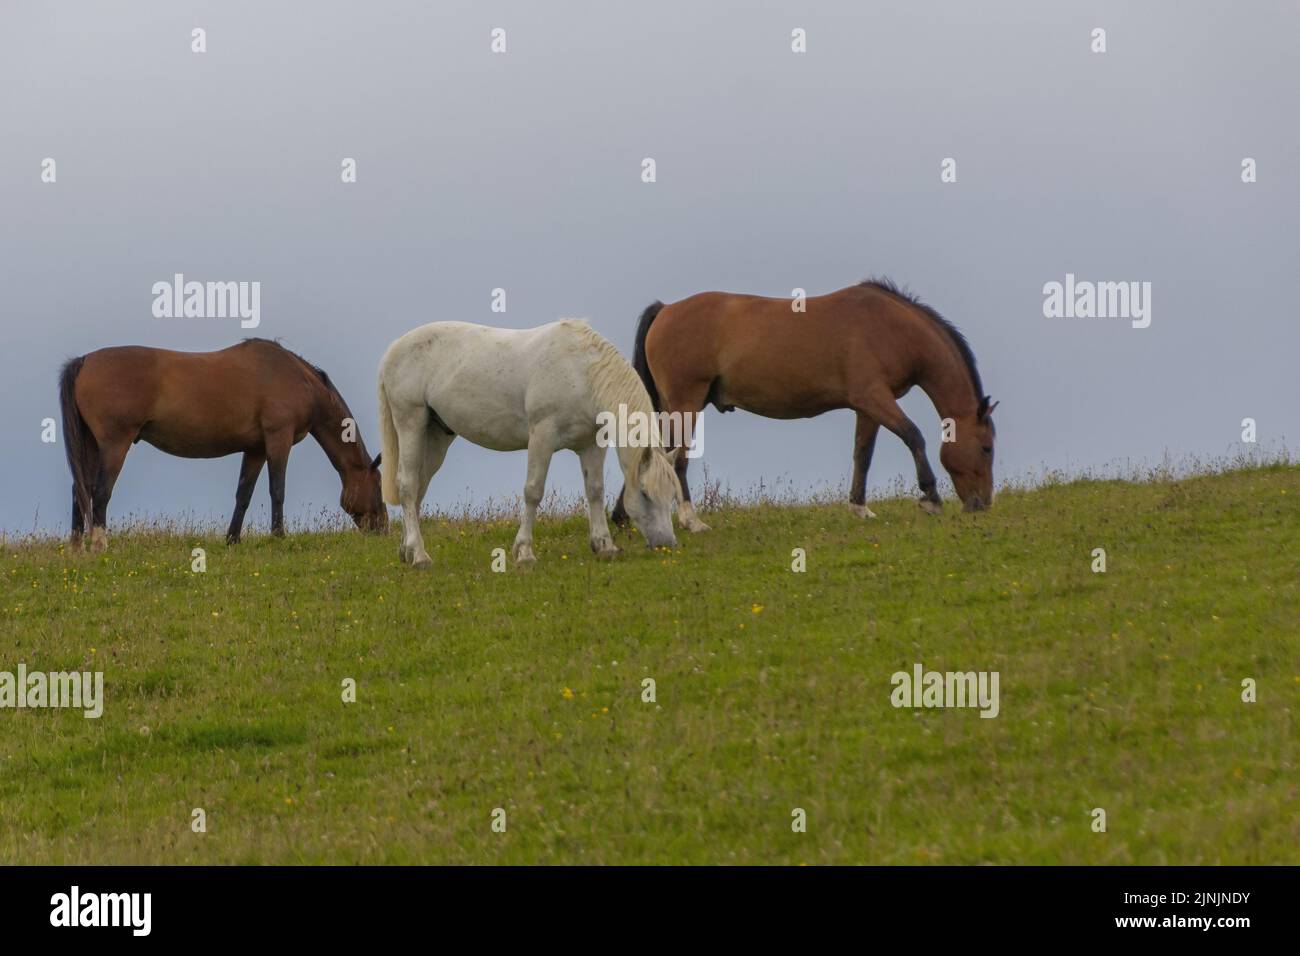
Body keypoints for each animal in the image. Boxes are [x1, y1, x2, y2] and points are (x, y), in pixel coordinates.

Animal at [58, 338, 387, 550]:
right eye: (378, 485)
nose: (383, 527)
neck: (298, 379)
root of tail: (85, 361)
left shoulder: (255, 449)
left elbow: (244, 493)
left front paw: (233, 539)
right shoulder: (278, 440)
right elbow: (277, 490)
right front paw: (278, 536)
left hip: (91, 445)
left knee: (79, 489)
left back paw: (76, 547)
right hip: (114, 445)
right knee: (100, 492)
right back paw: (99, 544)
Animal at [376, 319, 681, 567]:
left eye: (672, 496)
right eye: (645, 494)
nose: (667, 543)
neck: (580, 370)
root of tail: (393, 349)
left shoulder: (591, 445)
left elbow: (594, 490)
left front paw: (604, 545)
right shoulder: (542, 437)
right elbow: (534, 491)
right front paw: (524, 552)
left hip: (436, 436)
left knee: (419, 487)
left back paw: (406, 550)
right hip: (411, 422)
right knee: (407, 485)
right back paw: (419, 555)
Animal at [611, 278, 997, 531]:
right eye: (986, 447)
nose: (982, 504)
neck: (889, 326)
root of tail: (666, 310)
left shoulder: (867, 407)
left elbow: (863, 454)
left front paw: (860, 508)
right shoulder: (875, 397)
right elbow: (913, 435)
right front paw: (930, 497)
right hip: (685, 404)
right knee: (675, 457)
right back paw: (691, 520)